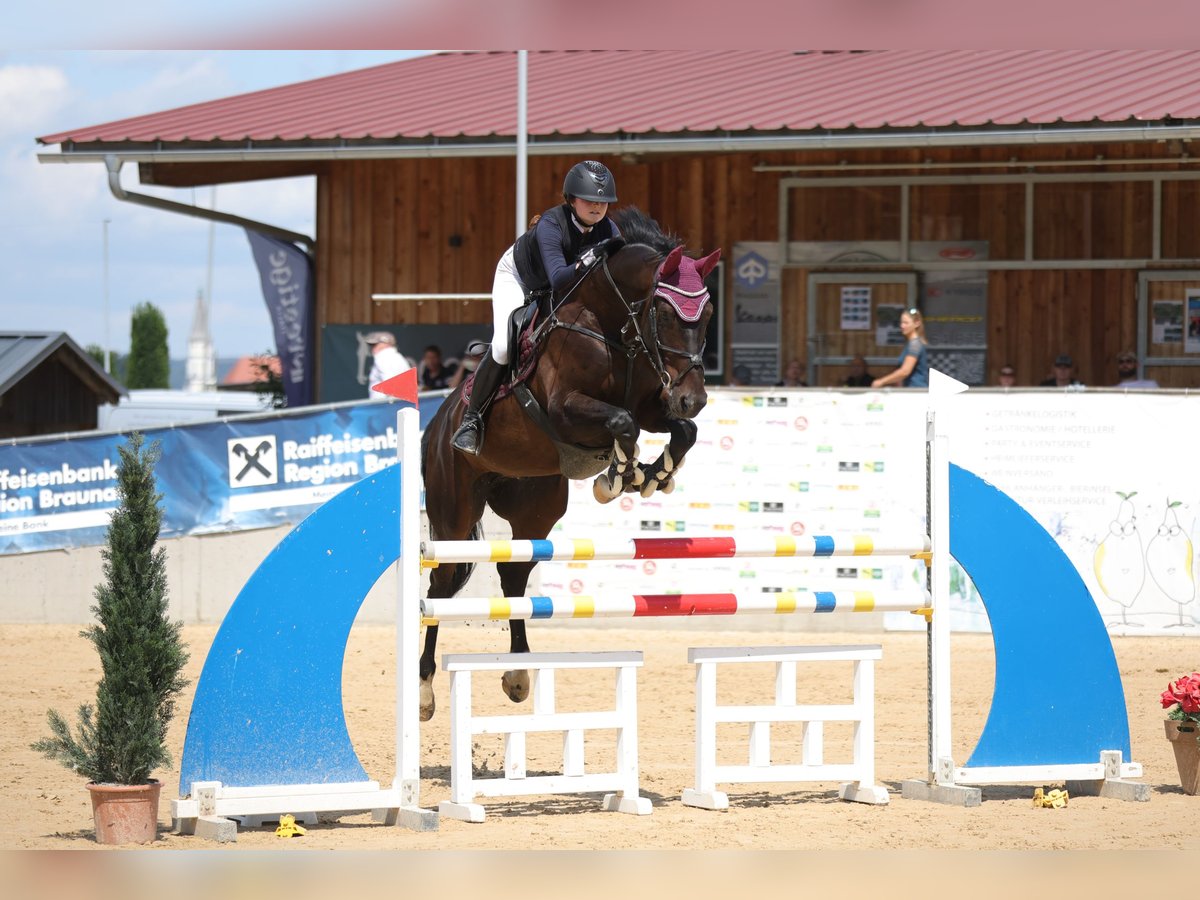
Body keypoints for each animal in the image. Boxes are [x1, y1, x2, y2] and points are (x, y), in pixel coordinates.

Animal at [420, 207, 715, 724]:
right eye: (664, 313)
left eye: (709, 314)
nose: (693, 398)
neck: (614, 327)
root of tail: (435, 424)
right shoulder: (564, 410)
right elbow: (622, 423)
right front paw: (618, 476)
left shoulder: (652, 406)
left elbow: (680, 431)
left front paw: (652, 475)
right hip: (452, 512)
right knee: (439, 588)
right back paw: (424, 691)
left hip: (534, 505)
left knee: (514, 577)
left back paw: (518, 673)